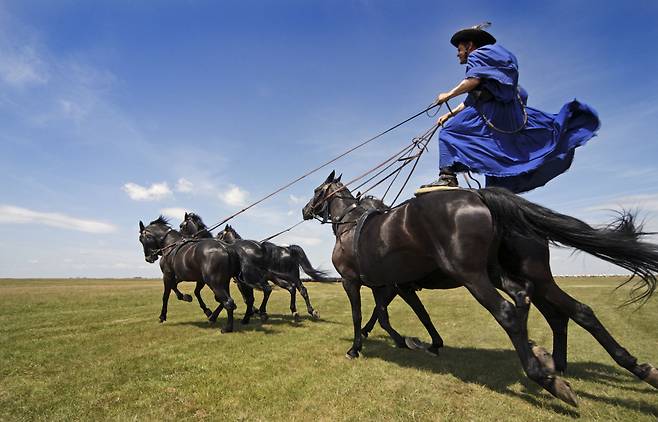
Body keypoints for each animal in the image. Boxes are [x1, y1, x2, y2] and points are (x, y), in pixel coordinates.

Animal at [138, 216, 270, 332]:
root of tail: (228, 248)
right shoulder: (192, 278)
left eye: (141, 239)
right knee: (244, 298)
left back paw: (228, 327)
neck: (170, 245)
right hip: (226, 281)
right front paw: (191, 300)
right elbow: (191, 291)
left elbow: (166, 295)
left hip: (216, 282)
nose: (149, 258)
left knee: (231, 301)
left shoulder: (168, 275)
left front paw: (163, 316)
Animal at [179, 213, 322, 322]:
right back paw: (302, 311)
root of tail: (289, 250)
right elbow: (246, 298)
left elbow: (245, 298)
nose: (181, 239)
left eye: (182, 226)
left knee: (280, 289)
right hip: (279, 278)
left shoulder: (240, 282)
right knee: (296, 289)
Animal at [302, 170, 656, 408]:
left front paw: (360, 346)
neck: (351, 226)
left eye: (317, 190)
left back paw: (546, 376)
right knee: (567, 310)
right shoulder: (386, 285)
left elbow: (366, 314)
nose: (305, 209)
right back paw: (626, 366)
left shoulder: (360, 283)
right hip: (523, 277)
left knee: (511, 312)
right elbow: (391, 315)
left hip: (475, 276)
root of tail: (480, 197)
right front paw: (418, 342)